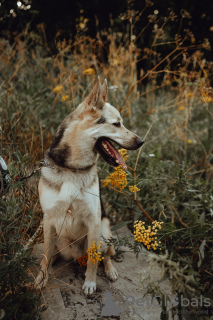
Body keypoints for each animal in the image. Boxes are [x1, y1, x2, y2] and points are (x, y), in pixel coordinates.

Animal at [35, 79, 143, 294]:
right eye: (116, 124)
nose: (141, 141)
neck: (73, 169)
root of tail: (76, 257)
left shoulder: (94, 221)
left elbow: (94, 260)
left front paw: (90, 283)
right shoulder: (49, 219)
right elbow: (45, 256)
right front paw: (42, 277)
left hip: (104, 230)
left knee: (105, 255)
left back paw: (110, 270)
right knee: (53, 252)